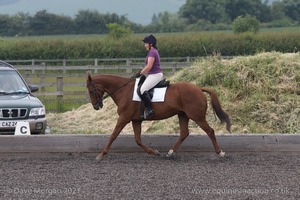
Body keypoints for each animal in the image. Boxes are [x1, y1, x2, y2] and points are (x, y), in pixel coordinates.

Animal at [86, 73, 232, 159]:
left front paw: (101, 154)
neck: (123, 90)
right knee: (184, 133)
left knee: (210, 131)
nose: (96, 106)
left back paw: (220, 152)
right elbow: (138, 140)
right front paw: (154, 152)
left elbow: (113, 135)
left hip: (197, 116)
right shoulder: (136, 120)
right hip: (183, 115)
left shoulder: (124, 118)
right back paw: (170, 152)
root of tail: (198, 88)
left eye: (91, 90)